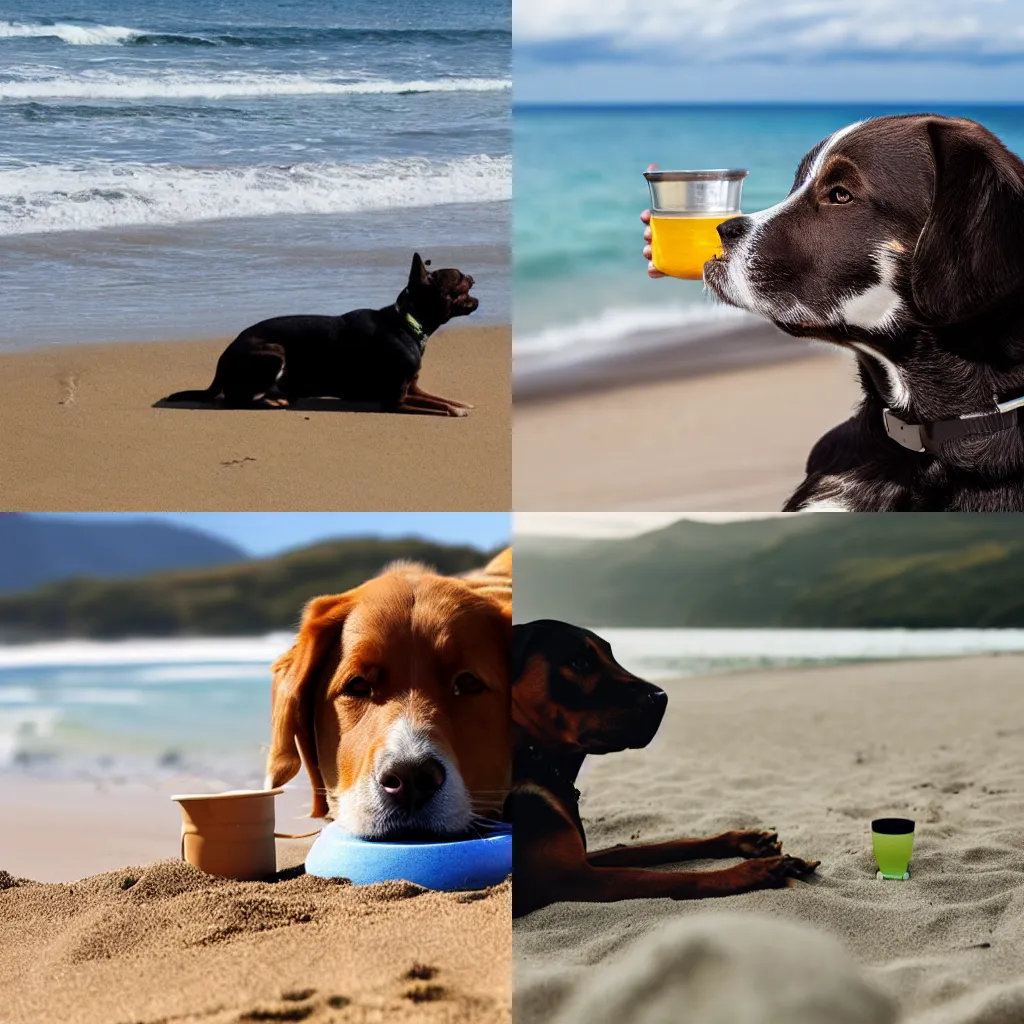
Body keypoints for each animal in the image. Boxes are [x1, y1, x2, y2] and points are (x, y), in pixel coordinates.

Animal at [160, 251, 479, 415]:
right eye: (459, 276)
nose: (473, 276)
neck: (406, 322)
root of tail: (221, 361)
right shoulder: (396, 399)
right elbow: (436, 405)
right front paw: (455, 410)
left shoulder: (413, 388)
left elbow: (440, 398)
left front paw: (459, 402)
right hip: (273, 353)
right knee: (234, 398)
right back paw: (271, 400)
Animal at [507, 618, 819, 917]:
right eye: (579, 662)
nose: (661, 697)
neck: (536, 758)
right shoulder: (569, 879)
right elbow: (672, 878)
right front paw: (755, 870)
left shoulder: (582, 860)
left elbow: (652, 848)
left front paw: (744, 841)